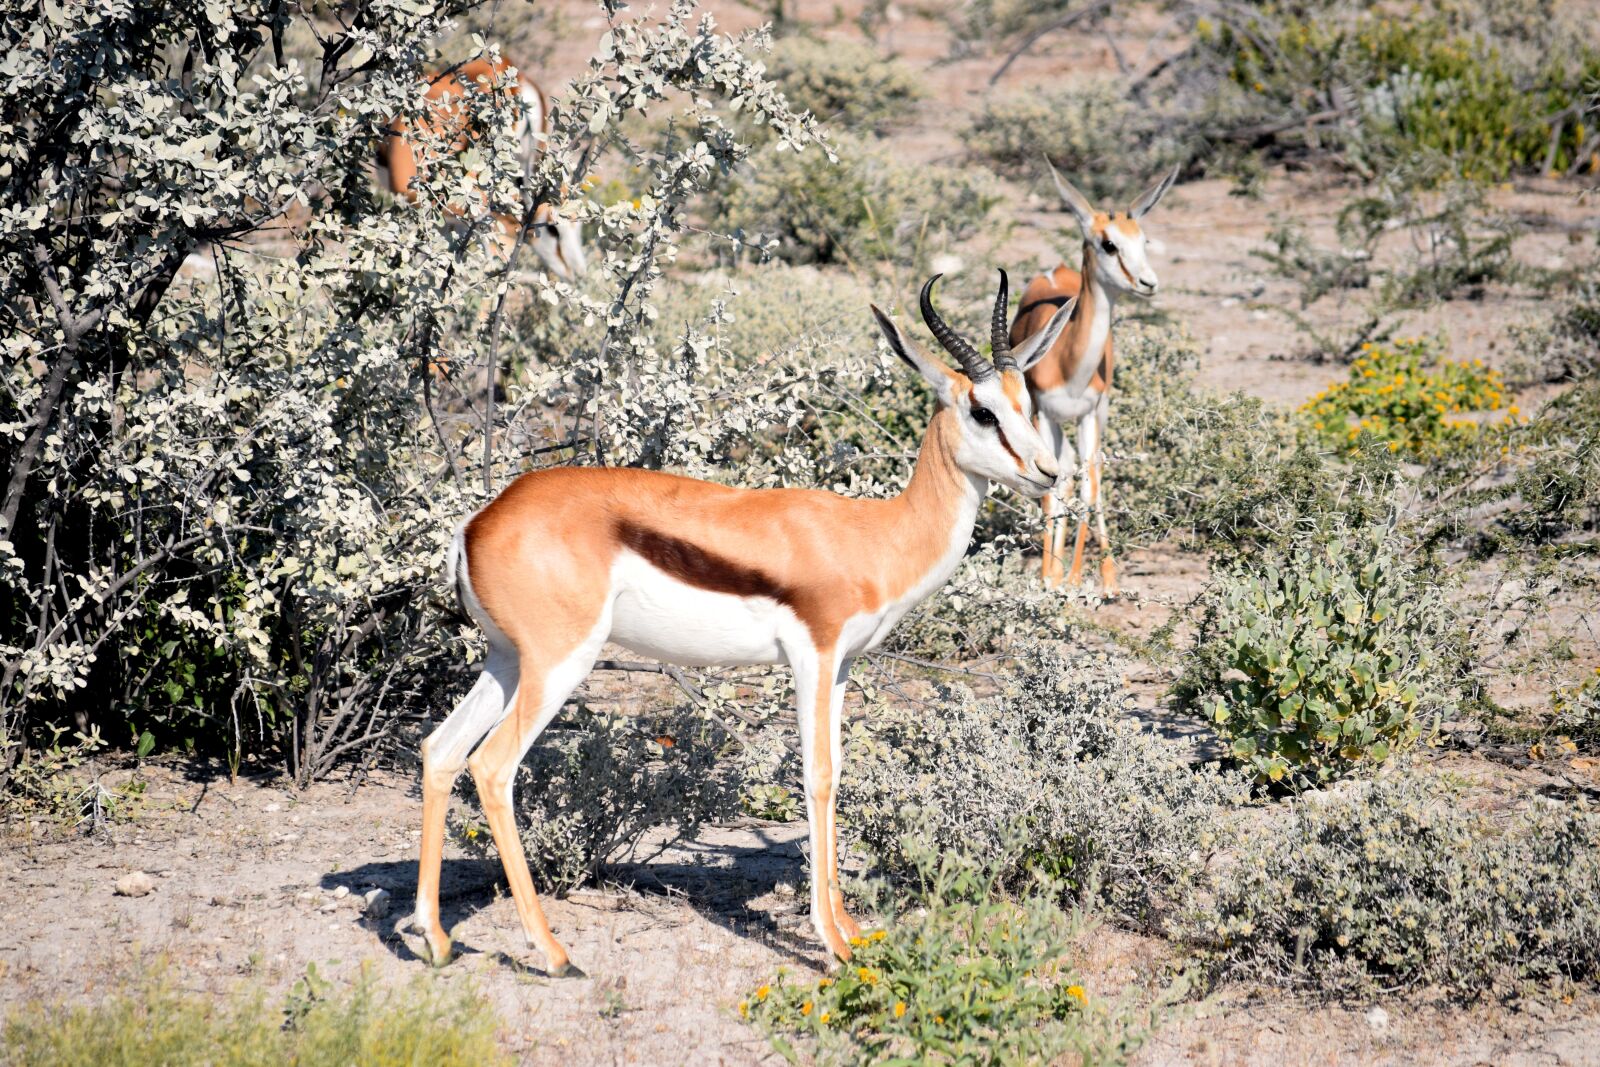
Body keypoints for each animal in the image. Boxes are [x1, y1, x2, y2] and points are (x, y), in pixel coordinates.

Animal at [408, 273, 1074, 972]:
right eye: (983, 411)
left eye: (1027, 402)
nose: (1049, 473)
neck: (876, 535)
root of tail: (476, 523)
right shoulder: (812, 656)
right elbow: (816, 777)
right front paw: (833, 945)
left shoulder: (841, 667)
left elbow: (837, 772)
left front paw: (851, 931)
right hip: (560, 664)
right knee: (491, 767)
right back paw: (554, 952)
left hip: (507, 661)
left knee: (441, 751)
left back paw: (435, 938)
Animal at [1009, 162, 1177, 595]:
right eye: (1108, 244)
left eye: (1143, 240)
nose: (1149, 283)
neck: (1070, 364)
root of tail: (1055, 270)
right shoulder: (1044, 414)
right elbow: (1053, 488)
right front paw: (1049, 578)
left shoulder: (1089, 412)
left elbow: (1090, 486)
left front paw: (1077, 579)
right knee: (1064, 473)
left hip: (1099, 415)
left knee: (1091, 474)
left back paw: (1106, 576)